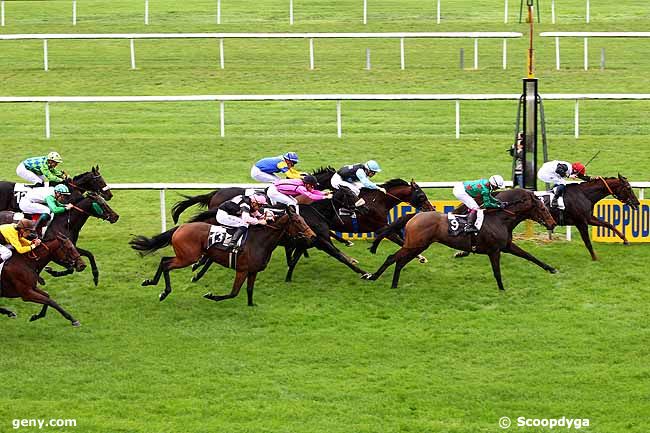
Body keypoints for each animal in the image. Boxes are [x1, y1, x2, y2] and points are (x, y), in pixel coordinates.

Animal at [129, 210, 314, 306]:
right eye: (298, 221)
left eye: (303, 219)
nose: (312, 236)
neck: (259, 241)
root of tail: (180, 227)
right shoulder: (242, 270)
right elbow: (233, 293)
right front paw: (211, 296)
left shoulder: (253, 271)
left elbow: (249, 290)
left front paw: (251, 305)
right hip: (188, 257)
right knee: (167, 264)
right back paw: (163, 292)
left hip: (184, 256)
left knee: (164, 260)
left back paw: (151, 282)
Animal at [362, 189, 556, 290]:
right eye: (543, 208)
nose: (552, 223)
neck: (500, 218)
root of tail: (414, 216)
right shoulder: (494, 250)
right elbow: (497, 272)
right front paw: (502, 289)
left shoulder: (507, 246)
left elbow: (529, 256)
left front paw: (551, 269)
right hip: (415, 245)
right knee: (393, 258)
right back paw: (374, 277)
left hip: (417, 246)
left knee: (399, 261)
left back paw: (392, 283)